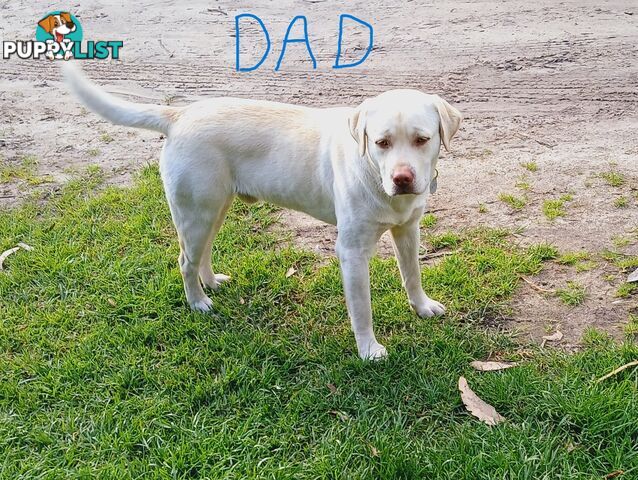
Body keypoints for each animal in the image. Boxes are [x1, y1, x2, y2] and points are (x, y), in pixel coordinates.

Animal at [62, 62, 462, 358]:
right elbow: (361, 308)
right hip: (195, 213)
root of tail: (181, 114)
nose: (402, 178)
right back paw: (199, 302)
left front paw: (422, 307)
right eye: (381, 142)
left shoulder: (408, 230)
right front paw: (368, 349)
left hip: (214, 209)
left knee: (202, 253)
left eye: (422, 139)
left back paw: (211, 282)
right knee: (184, 261)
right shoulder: (351, 251)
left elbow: (412, 275)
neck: (377, 177)